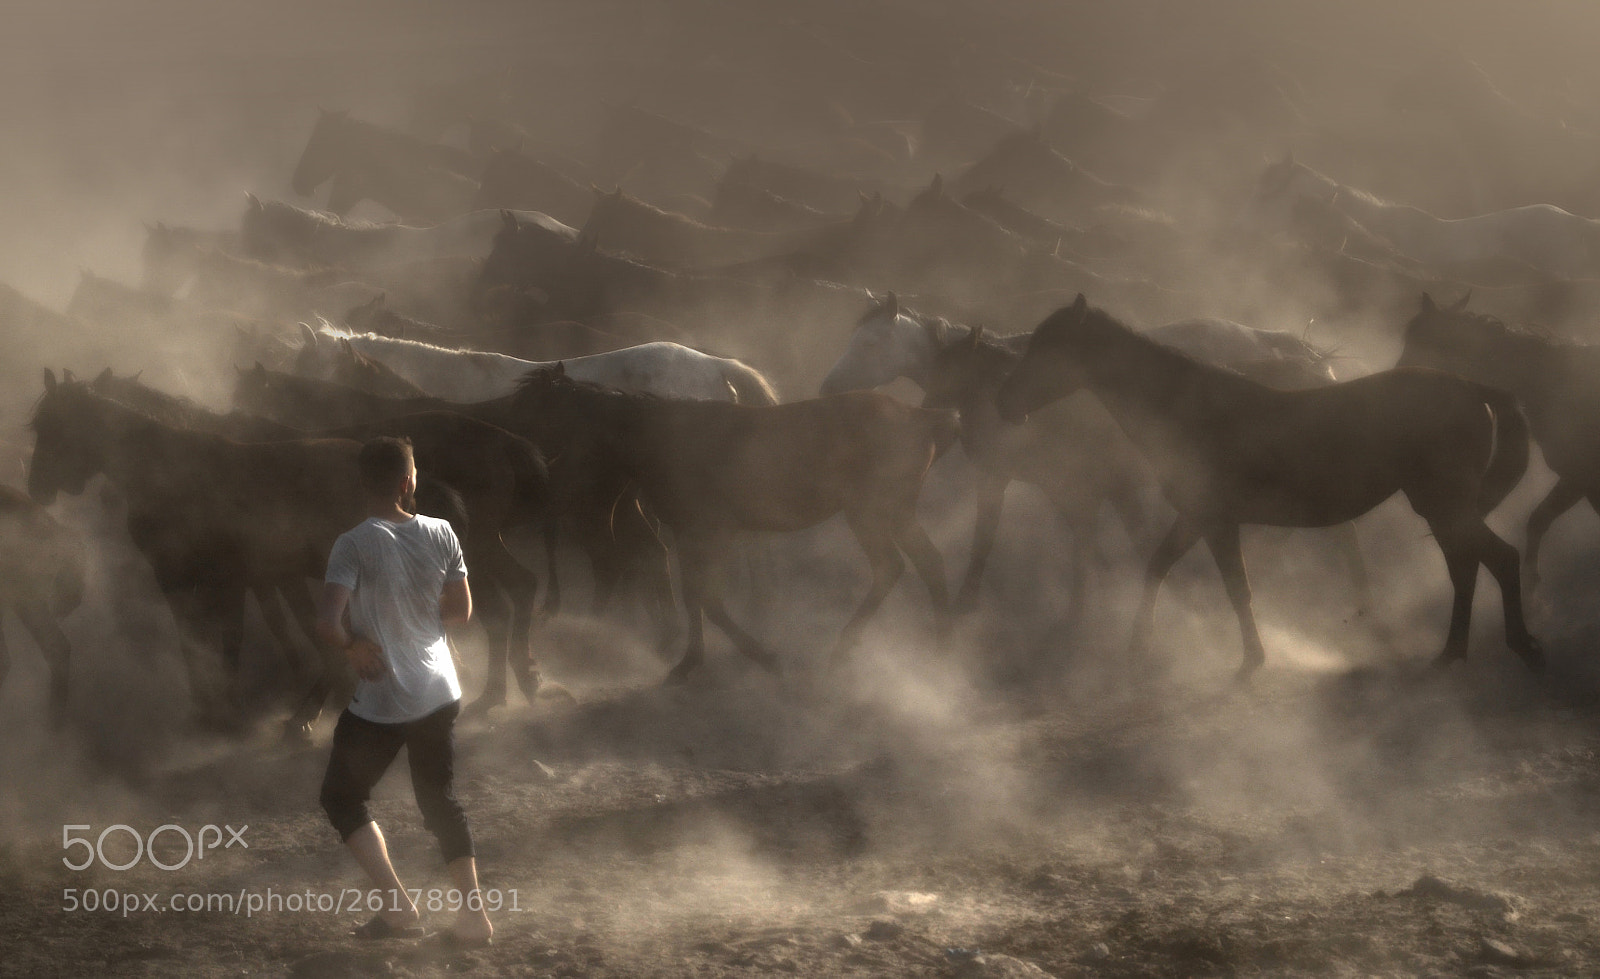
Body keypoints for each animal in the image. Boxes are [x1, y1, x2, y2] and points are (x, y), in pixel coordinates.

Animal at [515, 364, 960, 681]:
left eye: (536, 410)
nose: (525, 462)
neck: (664, 439)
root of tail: (920, 416)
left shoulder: (714, 534)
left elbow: (708, 598)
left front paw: (764, 656)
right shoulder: (689, 535)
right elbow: (695, 596)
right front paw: (689, 661)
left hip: (870, 512)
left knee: (892, 566)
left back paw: (847, 648)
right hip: (894, 513)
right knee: (929, 564)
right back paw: (939, 654)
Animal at [992, 294, 1542, 678]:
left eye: (1049, 349)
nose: (1005, 402)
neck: (1187, 410)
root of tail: (1472, 387)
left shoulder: (1216, 520)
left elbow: (1236, 587)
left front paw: (1251, 659)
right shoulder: (1196, 516)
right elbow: (1159, 566)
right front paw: (1141, 645)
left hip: (1443, 505)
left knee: (1498, 559)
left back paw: (1520, 646)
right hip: (1441, 509)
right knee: (1466, 567)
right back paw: (1451, 654)